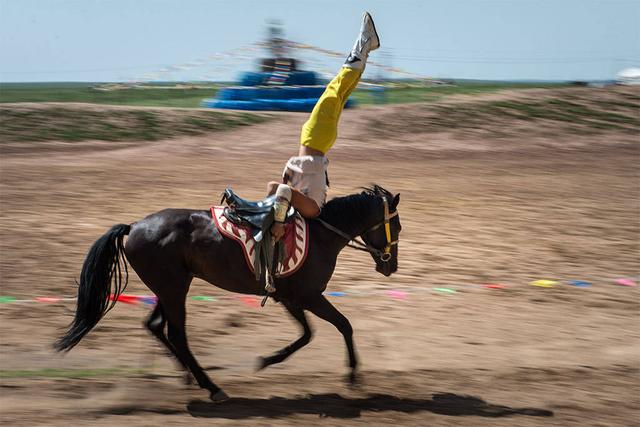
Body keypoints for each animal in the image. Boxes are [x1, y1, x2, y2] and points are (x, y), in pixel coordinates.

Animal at [57, 184, 402, 402]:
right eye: (396, 227)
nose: (391, 266)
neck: (321, 235)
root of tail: (135, 226)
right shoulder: (307, 296)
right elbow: (342, 325)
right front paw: (353, 375)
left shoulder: (290, 297)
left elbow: (307, 334)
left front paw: (268, 359)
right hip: (173, 289)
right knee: (177, 335)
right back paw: (211, 387)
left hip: (171, 288)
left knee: (155, 326)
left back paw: (188, 376)